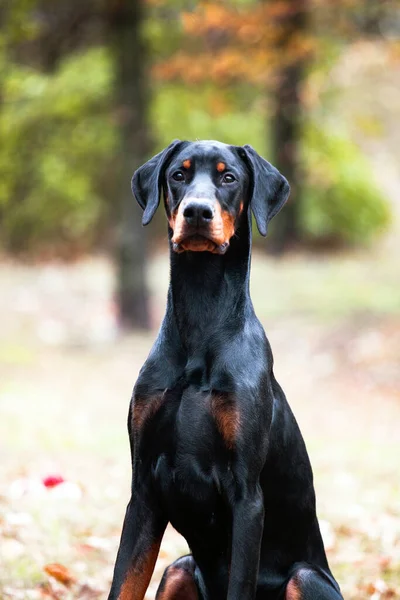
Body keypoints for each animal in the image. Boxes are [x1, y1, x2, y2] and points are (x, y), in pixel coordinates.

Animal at [108, 141, 344, 600]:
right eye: (178, 175)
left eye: (229, 177)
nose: (197, 212)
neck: (202, 319)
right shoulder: (142, 491)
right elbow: (124, 583)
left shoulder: (246, 496)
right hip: (179, 569)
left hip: (306, 578)